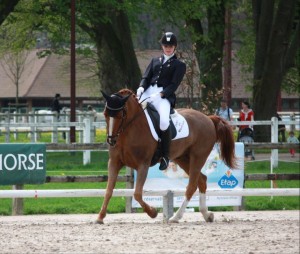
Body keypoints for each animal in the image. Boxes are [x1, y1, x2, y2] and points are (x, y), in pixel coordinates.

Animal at [98, 88, 237, 223]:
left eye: (120, 115)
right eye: (105, 114)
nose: (111, 141)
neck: (130, 129)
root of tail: (209, 118)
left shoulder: (143, 164)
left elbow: (137, 194)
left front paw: (153, 212)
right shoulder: (114, 162)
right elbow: (108, 191)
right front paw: (100, 217)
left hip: (198, 157)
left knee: (191, 186)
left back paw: (176, 217)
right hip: (182, 158)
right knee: (202, 180)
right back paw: (206, 215)